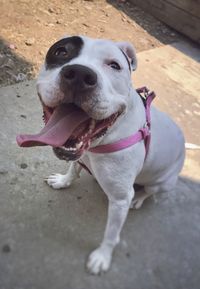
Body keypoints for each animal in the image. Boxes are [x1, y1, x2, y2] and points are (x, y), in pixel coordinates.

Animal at [16, 35, 186, 272]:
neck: (103, 140)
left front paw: (102, 257)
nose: (79, 75)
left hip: (162, 183)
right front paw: (63, 181)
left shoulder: (120, 200)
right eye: (61, 52)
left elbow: (111, 235)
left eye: (114, 65)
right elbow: (73, 168)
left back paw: (139, 199)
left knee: (149, 191)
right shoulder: (79, 153)